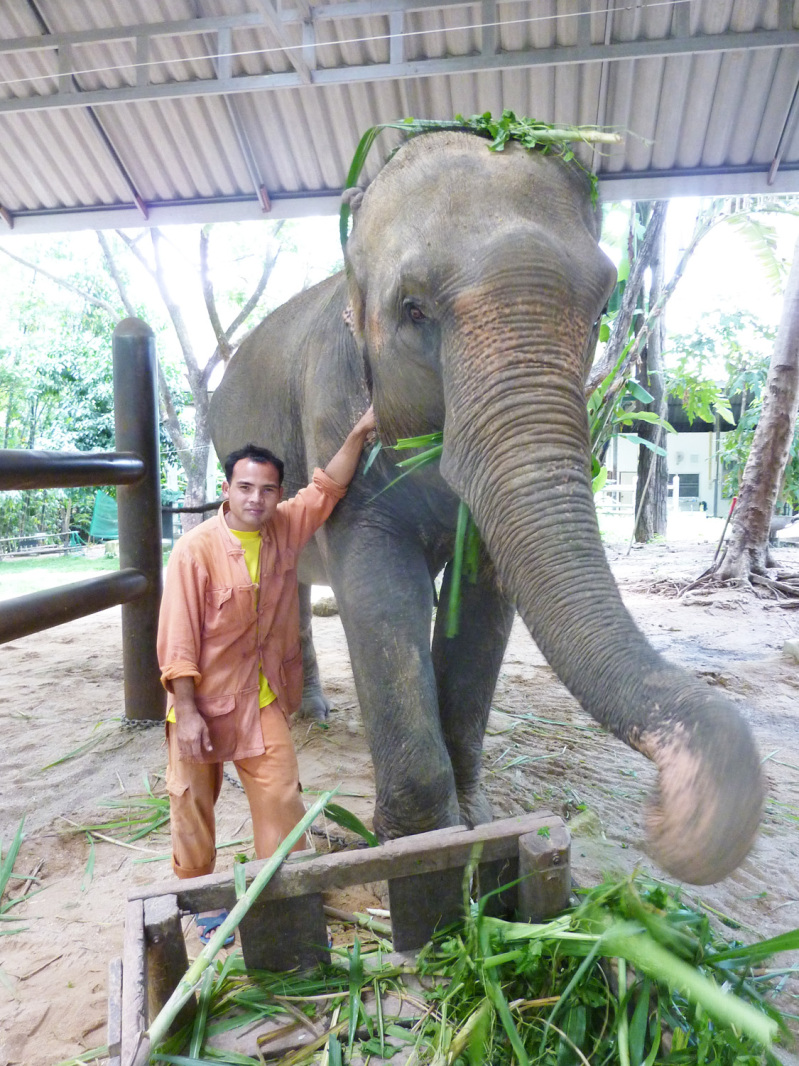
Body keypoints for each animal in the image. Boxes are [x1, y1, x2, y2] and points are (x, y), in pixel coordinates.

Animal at [210, 129, 763, 885]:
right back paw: (306, 718)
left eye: (602, 311)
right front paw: (419, 848)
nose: (668, 813)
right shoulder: (333, 414)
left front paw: (476, 825)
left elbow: (483, 600)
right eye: (413, 309)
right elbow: (382, 593)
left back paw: (312, 712)